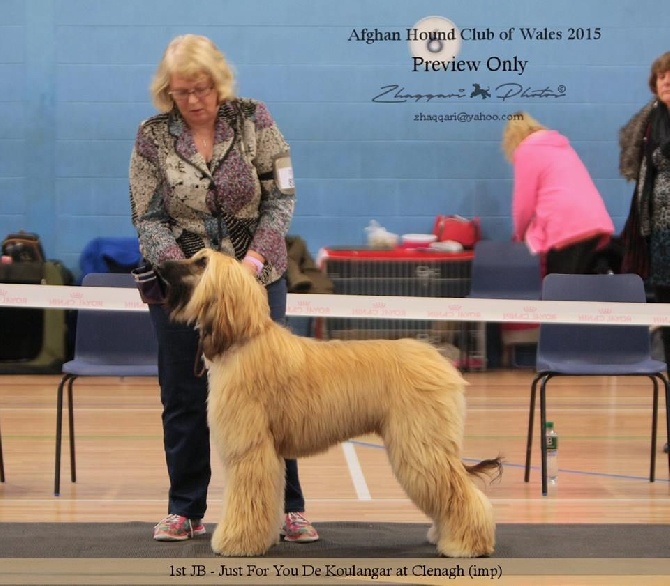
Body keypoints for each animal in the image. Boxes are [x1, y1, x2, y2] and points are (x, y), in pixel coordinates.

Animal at [158, 248, 504, 556]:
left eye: (202, 262)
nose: (159, 266)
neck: (244, 339)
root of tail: (439, 360)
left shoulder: (250, 448)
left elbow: (247, 497)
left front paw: (236, 542)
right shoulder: (266, 451)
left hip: (420, 443)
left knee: (461, 492)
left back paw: (467, 544)